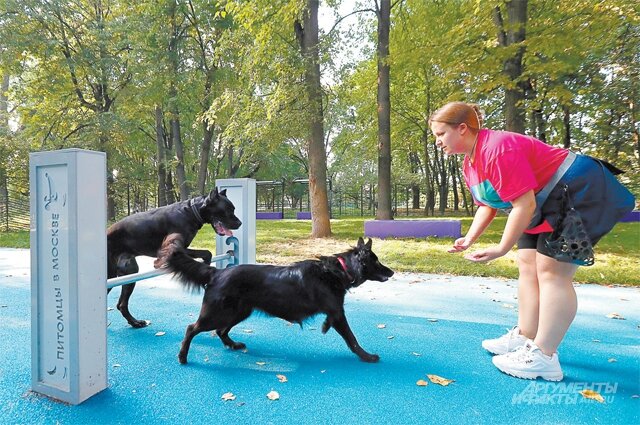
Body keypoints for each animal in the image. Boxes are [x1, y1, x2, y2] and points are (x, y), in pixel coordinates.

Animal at [108, 187, 242, 326]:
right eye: (228, 210)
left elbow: (206, 253)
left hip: (129, 271)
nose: (240, 223)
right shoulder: (176, 250)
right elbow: (207, 253)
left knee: (122, 304)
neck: (191, 213)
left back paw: (135, 322)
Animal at [158, 234, 392, 362]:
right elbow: (352, 338)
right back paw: (182, 356)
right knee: (192, 328)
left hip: (239, 312)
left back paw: (233, 345)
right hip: (217, 313)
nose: (391, 272)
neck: (338, 271)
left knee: (220, 331)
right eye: (376, 261)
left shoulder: (334, 312)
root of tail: (217, 272)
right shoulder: (337, 312)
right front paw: (367, 357)